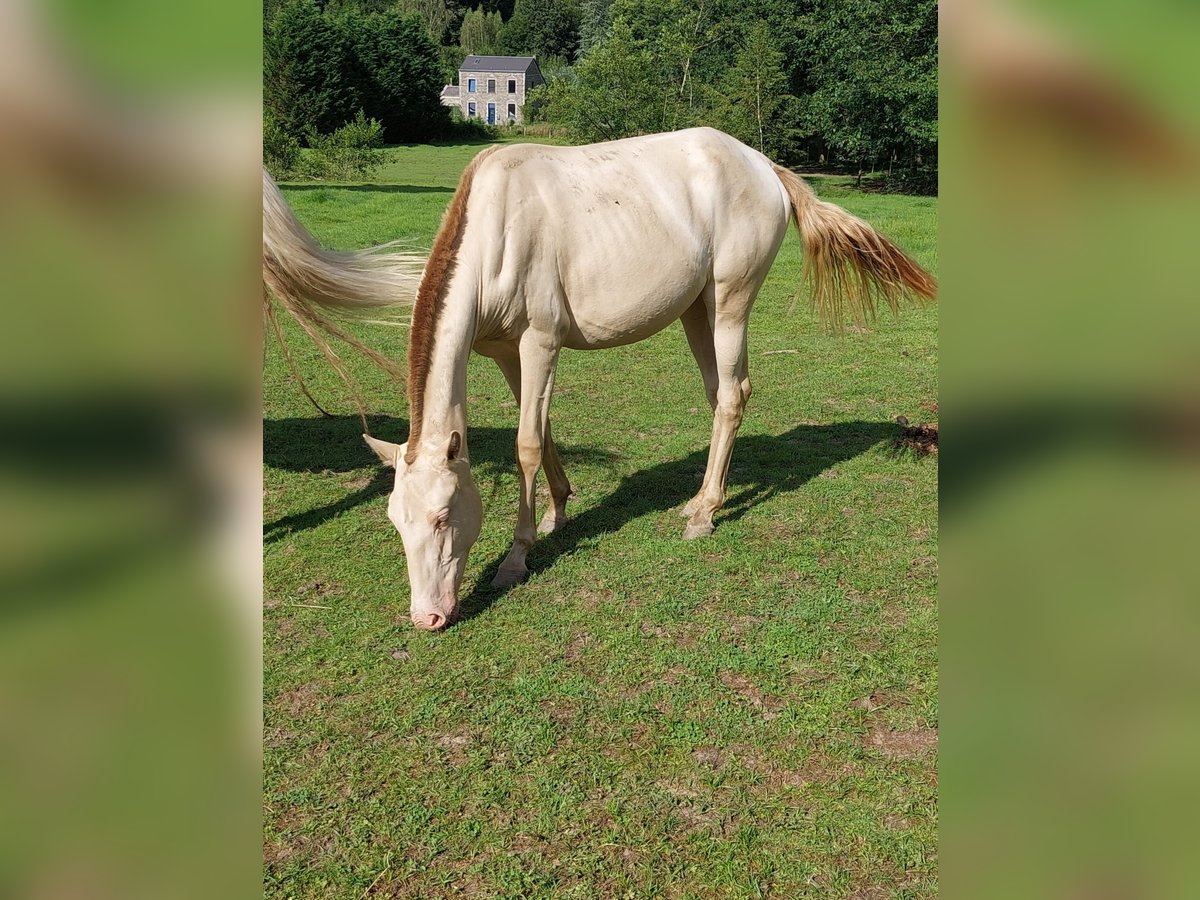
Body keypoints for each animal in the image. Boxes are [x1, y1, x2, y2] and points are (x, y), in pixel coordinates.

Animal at [262, 127, 936, 633]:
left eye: (442, 517)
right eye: (396, 522)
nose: (426, 618)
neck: (497, 229)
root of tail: (761, 163)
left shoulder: (539, 343)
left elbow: (525, 444)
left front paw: (516, 557)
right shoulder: (505, 352)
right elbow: (542, 430)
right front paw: (558, 512)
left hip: (729, 303)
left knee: (732, 396)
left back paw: (703, 514)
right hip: (696, 309)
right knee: (723, 395)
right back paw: (706, 497)